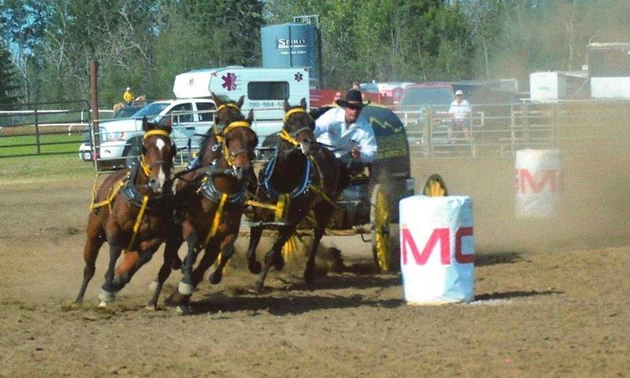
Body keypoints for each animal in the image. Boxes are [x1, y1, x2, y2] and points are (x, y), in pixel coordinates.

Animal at [75, 116, 177, 306]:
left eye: (172, 149)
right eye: (145, 148)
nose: (160, 181)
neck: (143, 200)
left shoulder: (155, 238)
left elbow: (145, 257)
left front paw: (117, 282)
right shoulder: (114, 227)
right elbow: (114, 249)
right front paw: (107, 288)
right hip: (93, 235)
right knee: (89, 268)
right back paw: (78, 299)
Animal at [147, 95, 258, 314]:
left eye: (254, 139)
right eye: (229, 138)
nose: (244, 170)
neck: (221, 193)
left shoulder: (225, 235)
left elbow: (226, 251)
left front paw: (210, 278)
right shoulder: (188, 225)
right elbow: (190, 242)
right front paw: (185, 281)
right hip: (174, 238)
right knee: (166, 267)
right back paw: (154, 298)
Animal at [246, 98, 340, 292]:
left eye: (312, 123)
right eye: (288, 124)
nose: (310, 144)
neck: (284, 178)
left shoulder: (292, 220)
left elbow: (272, 252)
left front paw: (259, 282)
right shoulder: (259, 214)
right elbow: (251, 250)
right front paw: (255, 266)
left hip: (324, 208)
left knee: (317, 235)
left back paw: (309, 272)